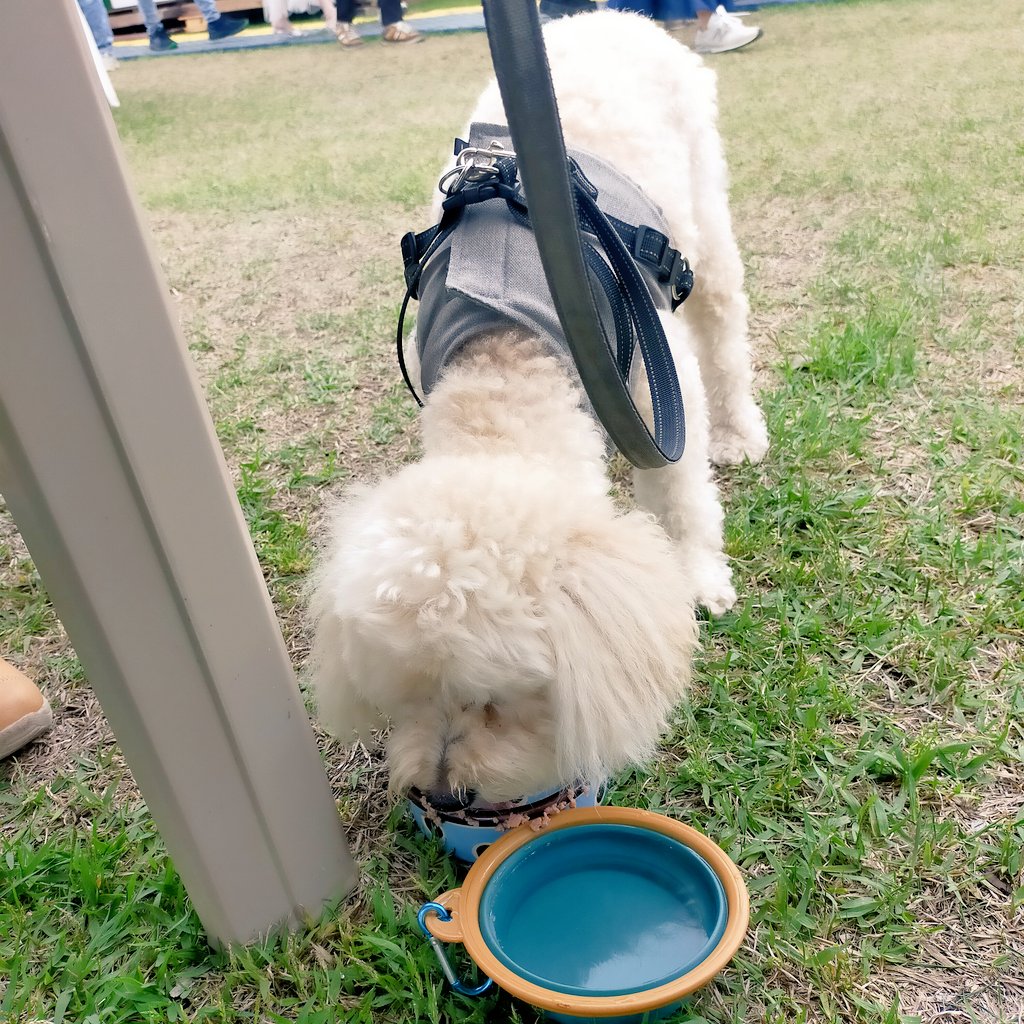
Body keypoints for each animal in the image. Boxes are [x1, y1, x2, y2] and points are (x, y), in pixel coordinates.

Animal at [311, 9, 770, 806]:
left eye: (497, 700)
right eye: (404, 699)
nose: (443, 795)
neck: (507, 358)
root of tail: (603, 15)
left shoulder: (655, 389)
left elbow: (682, 496)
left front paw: (698, 579)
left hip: (704, 227)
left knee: (724, 329)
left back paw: (741, 433)